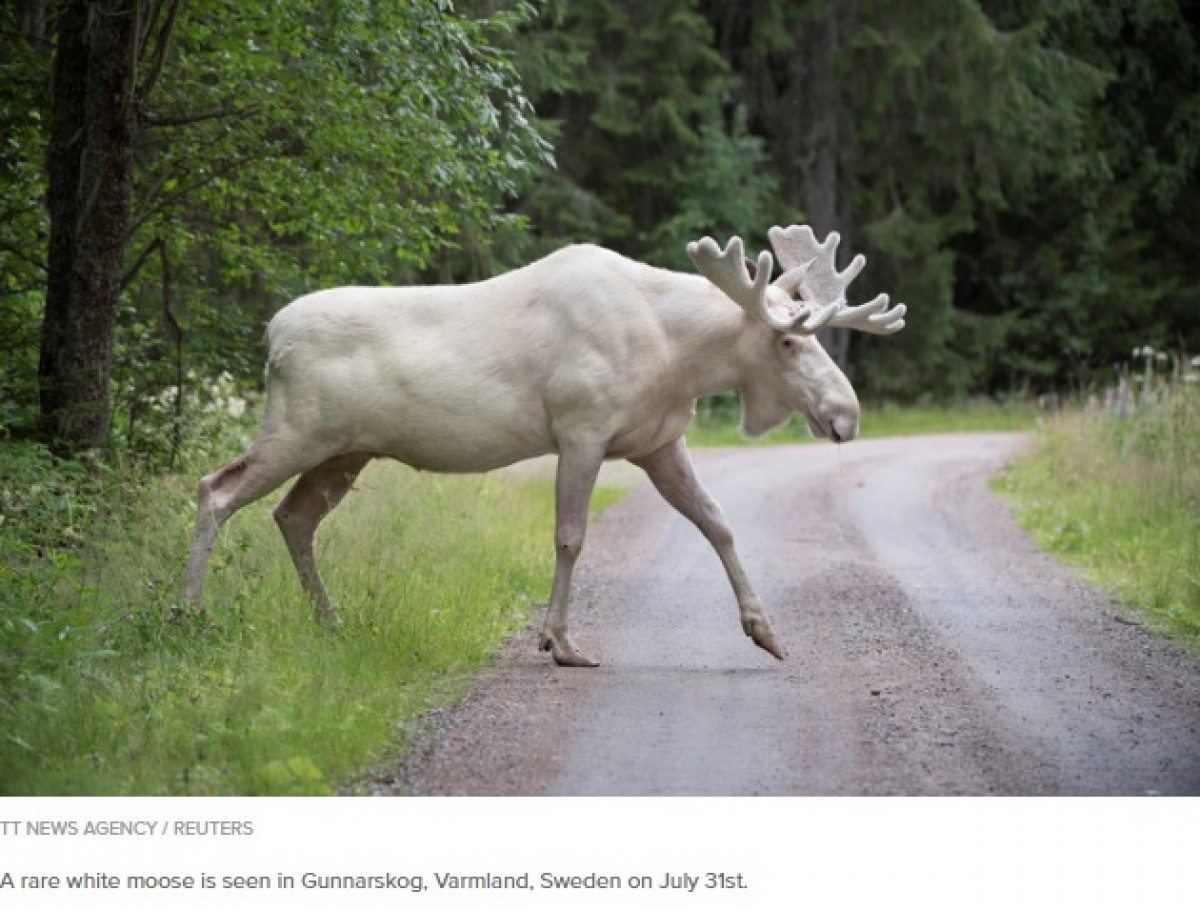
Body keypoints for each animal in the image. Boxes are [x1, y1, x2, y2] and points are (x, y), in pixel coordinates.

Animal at [182, 224, 902, 667]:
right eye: (787, 339)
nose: (846, 415)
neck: (678, 355)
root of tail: (271, 336)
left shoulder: (658, 441)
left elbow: (719, 523)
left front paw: (765, 631)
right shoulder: (581, 428)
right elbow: (570, 536)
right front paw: (560, 642)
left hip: (344, 451)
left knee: (293, 515)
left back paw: (329, 622)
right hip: (298, 430)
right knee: (215, 489)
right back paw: (189, 613)